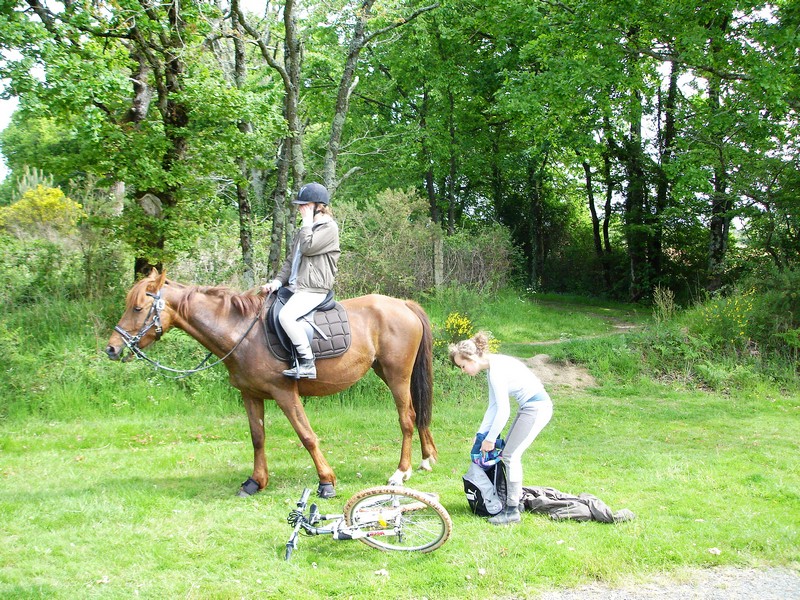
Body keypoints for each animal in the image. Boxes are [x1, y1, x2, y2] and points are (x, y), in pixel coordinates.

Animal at [106, 270, 438, 496]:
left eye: (137, 308)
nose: (112, 348)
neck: (242, 332)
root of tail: (403, 305)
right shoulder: (250, 395)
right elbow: (258, 438)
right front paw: (256, 481)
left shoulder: (284, 393)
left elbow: (307, 436)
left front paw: (326, 481)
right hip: (389, 372)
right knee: (417, 414)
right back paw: (426, 459)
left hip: (396, 375)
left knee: (407, 417)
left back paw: (401, 472)